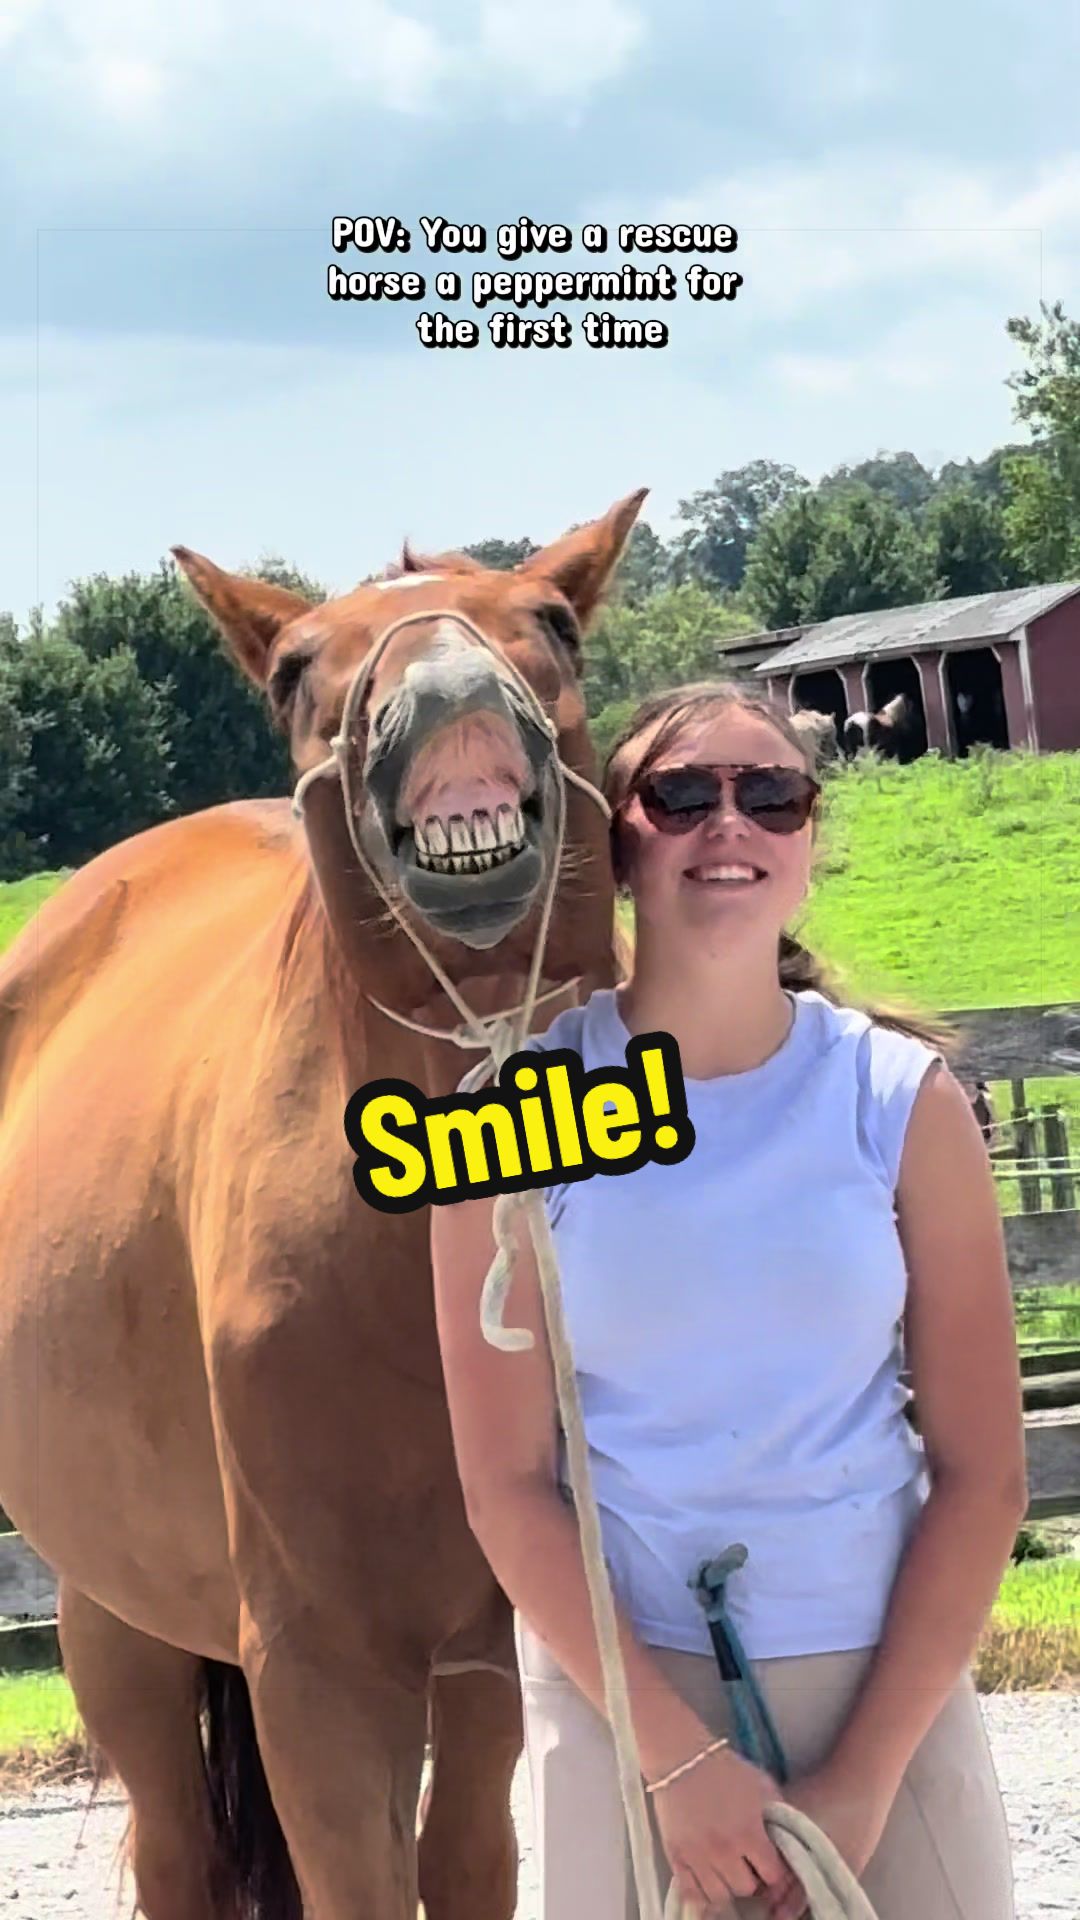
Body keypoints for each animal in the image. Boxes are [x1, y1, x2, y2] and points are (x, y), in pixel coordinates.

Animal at [0, 489, 644, 1919]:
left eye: (553, 620)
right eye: (298, 669)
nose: (448, 683)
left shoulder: (498, 1649)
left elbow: (467, 1866)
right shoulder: (323, 1674)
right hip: (116, 1622)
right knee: (177, 1854)